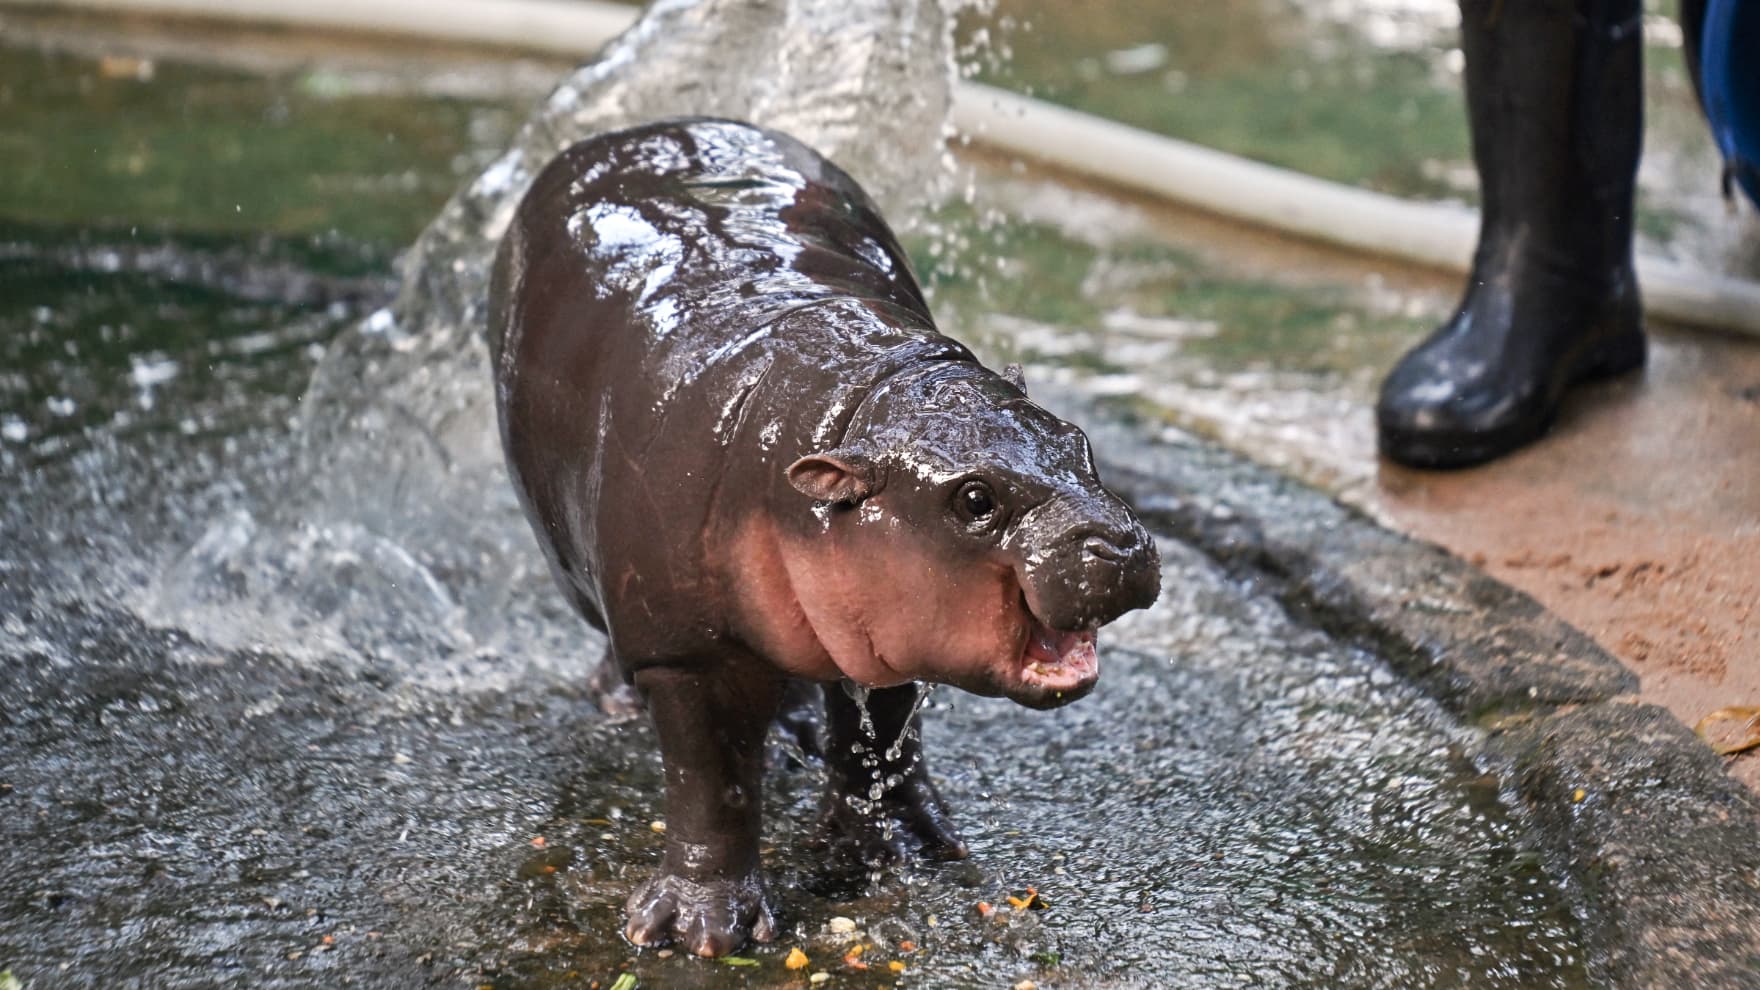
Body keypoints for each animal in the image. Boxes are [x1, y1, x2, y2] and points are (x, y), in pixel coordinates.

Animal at [489, 117, 1161, 958]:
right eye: (974, 498)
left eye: (1079, 442)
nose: (1121, 544)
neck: (852, 405)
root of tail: (640, 130)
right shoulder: (687, 651)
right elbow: (712, 782)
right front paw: (698, 931)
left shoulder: (891, 623)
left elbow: (885, 736)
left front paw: (908, 846)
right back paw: (623, 705)